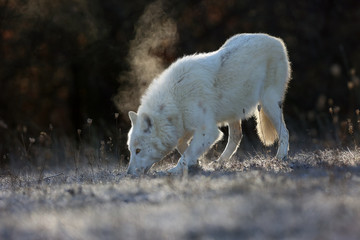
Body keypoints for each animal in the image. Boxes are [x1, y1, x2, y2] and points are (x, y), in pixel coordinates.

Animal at [126, 33, 290, 176]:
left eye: (138, 150)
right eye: (131, 150)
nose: (128, 173)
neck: (175, 99)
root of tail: (277, 40)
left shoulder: (208, 130)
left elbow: (186, 154)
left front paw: (176, 169)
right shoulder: (187, 127)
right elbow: (182, 146)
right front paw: (197, 163)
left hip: (268, 103)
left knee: (284, 132)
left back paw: (280, 157)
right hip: (234, 112)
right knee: (236, 137)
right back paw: (219, 162)